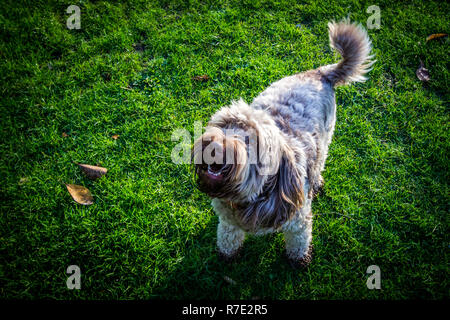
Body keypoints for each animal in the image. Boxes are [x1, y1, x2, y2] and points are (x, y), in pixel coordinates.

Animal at [192, 20, 374, 268]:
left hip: (326, 137)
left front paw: (299, 261)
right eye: (223, 125)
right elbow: (228, 237)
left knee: (320, 162)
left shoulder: (298, 221)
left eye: (253, 140)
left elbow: (298, 242)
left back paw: (317, 182)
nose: (217, 147)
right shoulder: (228, 221)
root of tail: (320, 72)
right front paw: (226, 255)